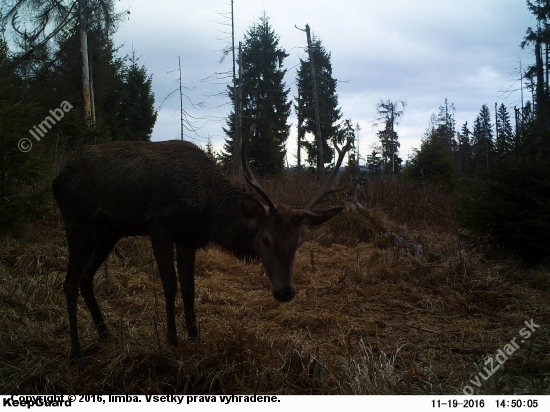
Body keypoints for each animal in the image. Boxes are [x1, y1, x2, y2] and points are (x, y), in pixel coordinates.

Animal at [54, 124, 352, 362]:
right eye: (266, 239)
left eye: (299, 242)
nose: (285, 292)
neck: (207, 212)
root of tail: (57, 178)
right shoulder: (158, 226)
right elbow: (170, 285)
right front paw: (172, 340)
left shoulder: (188, 239)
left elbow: (189, 288)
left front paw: (194, 336)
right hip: (77, 222)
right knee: (69, 282)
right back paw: (76, 351)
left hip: (109, 232)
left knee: (85, 278)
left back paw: (105, 334)